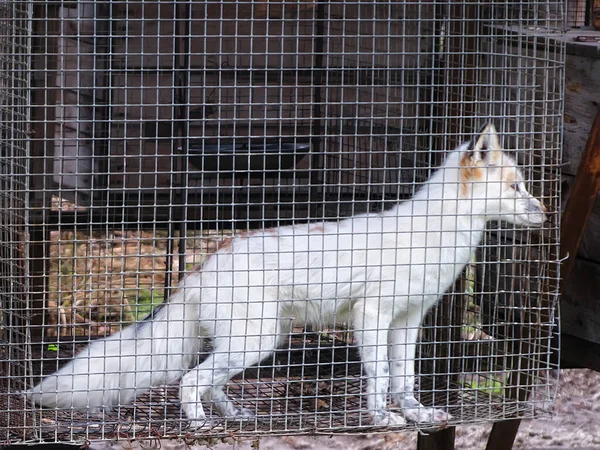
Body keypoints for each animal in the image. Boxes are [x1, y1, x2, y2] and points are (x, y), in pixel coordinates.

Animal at [28, 124, 548, 428]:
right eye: (517, 187)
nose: (543, 212)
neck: (433, 235)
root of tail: (201, 268)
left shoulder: (408, 321)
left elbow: (405, 378)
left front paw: (418, 415)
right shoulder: (372, 315)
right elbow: (380, 377)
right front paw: (382, 419)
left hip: (261, 340)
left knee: (211, 383)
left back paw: (235, 415)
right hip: (253, 341)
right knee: (191, 381)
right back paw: (200, 425)